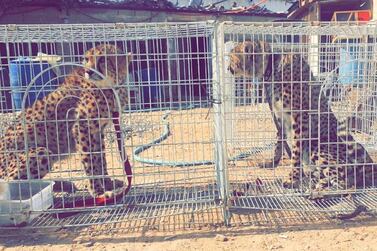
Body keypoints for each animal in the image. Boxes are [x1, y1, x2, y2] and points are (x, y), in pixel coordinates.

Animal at [0, 44, 132, 199]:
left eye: (102, 59)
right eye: (86, 59)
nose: (88, 71)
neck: (111, 86)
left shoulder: (97, 131)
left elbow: (100, 158)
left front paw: (107, 182)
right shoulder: (82, 128)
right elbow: (90, 162)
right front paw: (98, 192)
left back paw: (61, 185)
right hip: (40, 152)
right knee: (12, 184)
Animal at [226, 39, 376, 192]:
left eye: (231, 58)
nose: (227, 68)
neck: (271, 67)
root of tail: (366, 164)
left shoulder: (300, 119)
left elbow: (295, 152)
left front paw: (292, 178)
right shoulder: (280, 118)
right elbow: (279, 143)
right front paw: (273, 163)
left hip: (317, 145)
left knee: (344, 180)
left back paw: (319, 189)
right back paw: (314, 178)